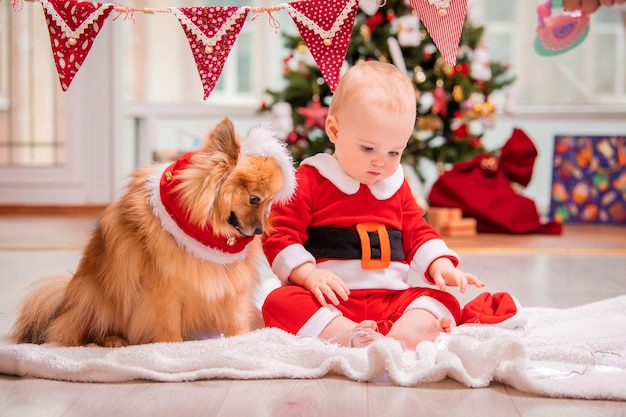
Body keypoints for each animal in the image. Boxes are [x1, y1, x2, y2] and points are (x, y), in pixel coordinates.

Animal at [11, 117, 294, 348]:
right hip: (100, 298)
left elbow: (236, 318)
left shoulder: (232, 287)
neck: (207, 235)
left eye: (270, 203)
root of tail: (65, 302)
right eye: (254, 199)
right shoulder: (162, 287)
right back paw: (113, 340)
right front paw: (170, 347)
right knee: (86, 330)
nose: (259, 230)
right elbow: (167, 323)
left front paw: (242, 341)